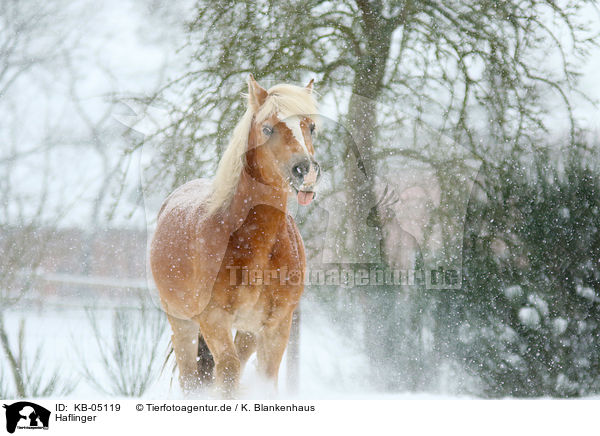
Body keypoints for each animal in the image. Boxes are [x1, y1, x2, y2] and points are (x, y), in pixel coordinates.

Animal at [149, 75, 318, 396]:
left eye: (311, 126)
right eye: (267, 128)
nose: (305, 171)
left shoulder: (276, 325)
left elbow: (265, 379)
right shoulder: (214, 319)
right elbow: (227, 372)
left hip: (248, 331)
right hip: (182, 323)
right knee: (192, 379)